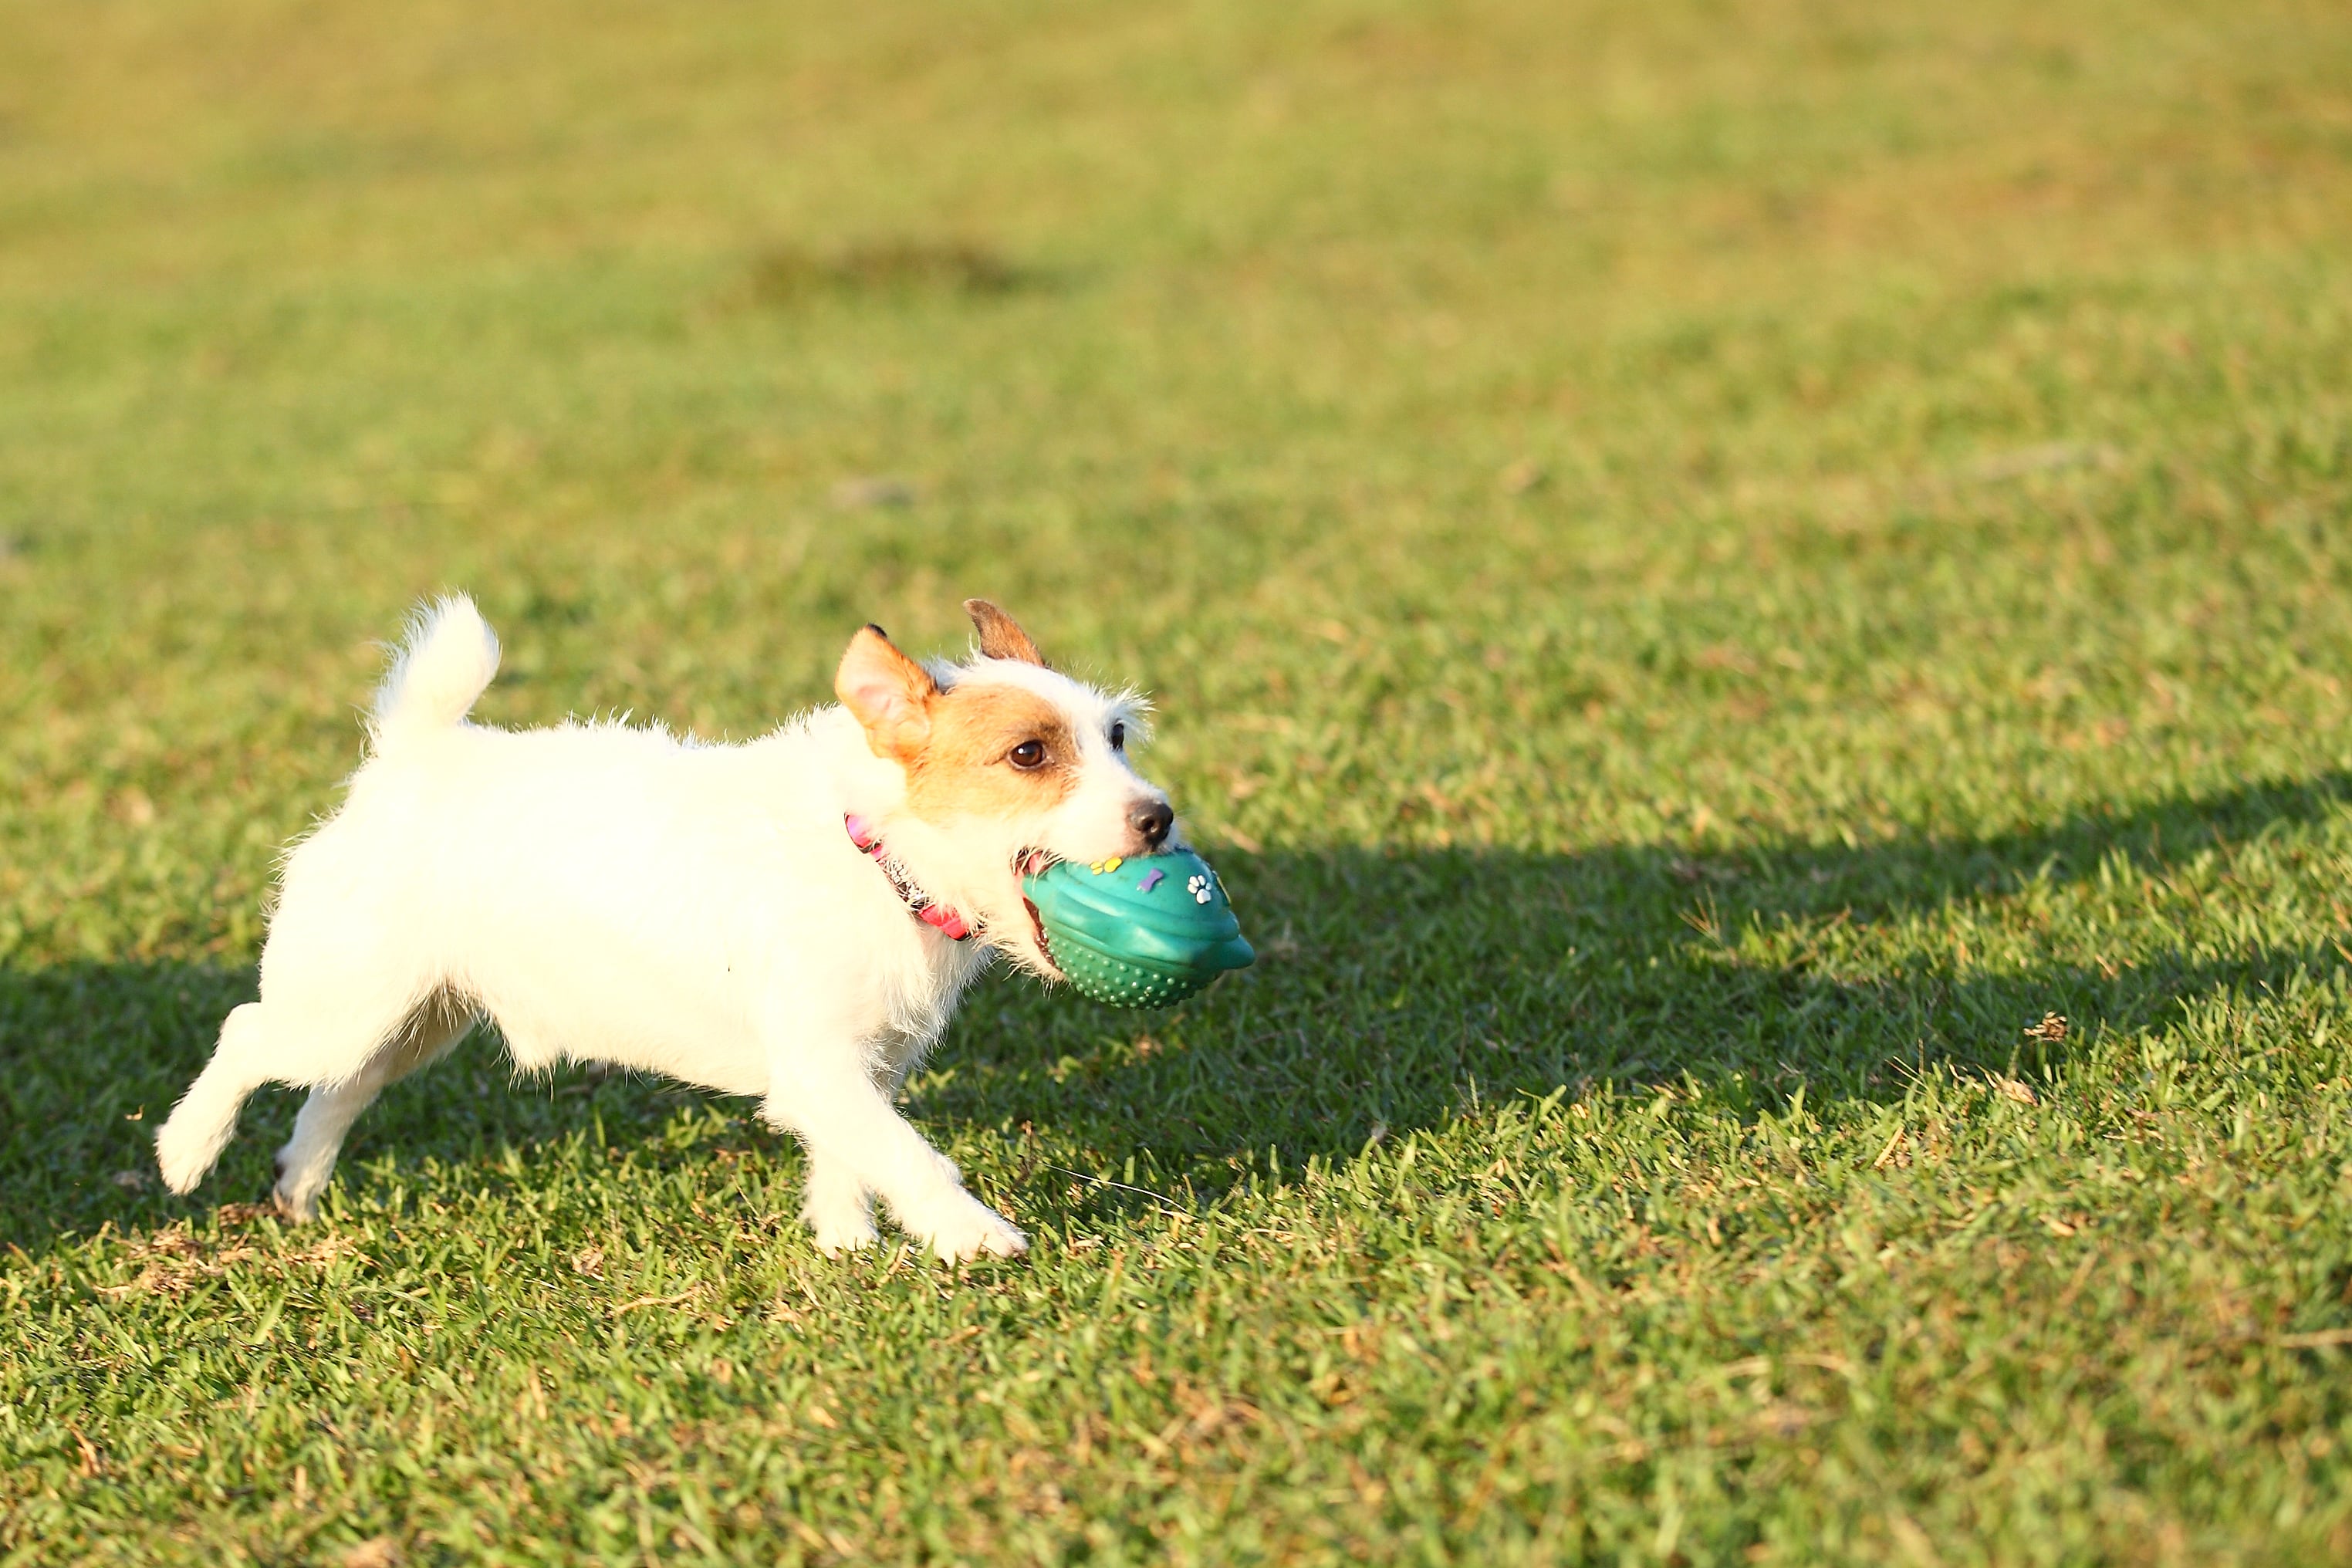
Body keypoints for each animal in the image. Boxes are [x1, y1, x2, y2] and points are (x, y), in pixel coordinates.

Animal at [149, 596, 1176, 1259]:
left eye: (1118, 738)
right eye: (1029, 754)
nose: (1160, 818)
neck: (872, 850)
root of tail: (412, 755)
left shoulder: (861, 1067)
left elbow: (851, 1154)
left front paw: (846, 1244)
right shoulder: (821, 1064)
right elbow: (906, 1155)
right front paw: (976, 1235)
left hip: (412, 1019)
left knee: (341, 1090)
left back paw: (298, 1183)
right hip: (346, 999)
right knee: (247, 1033)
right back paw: (186, 1151)